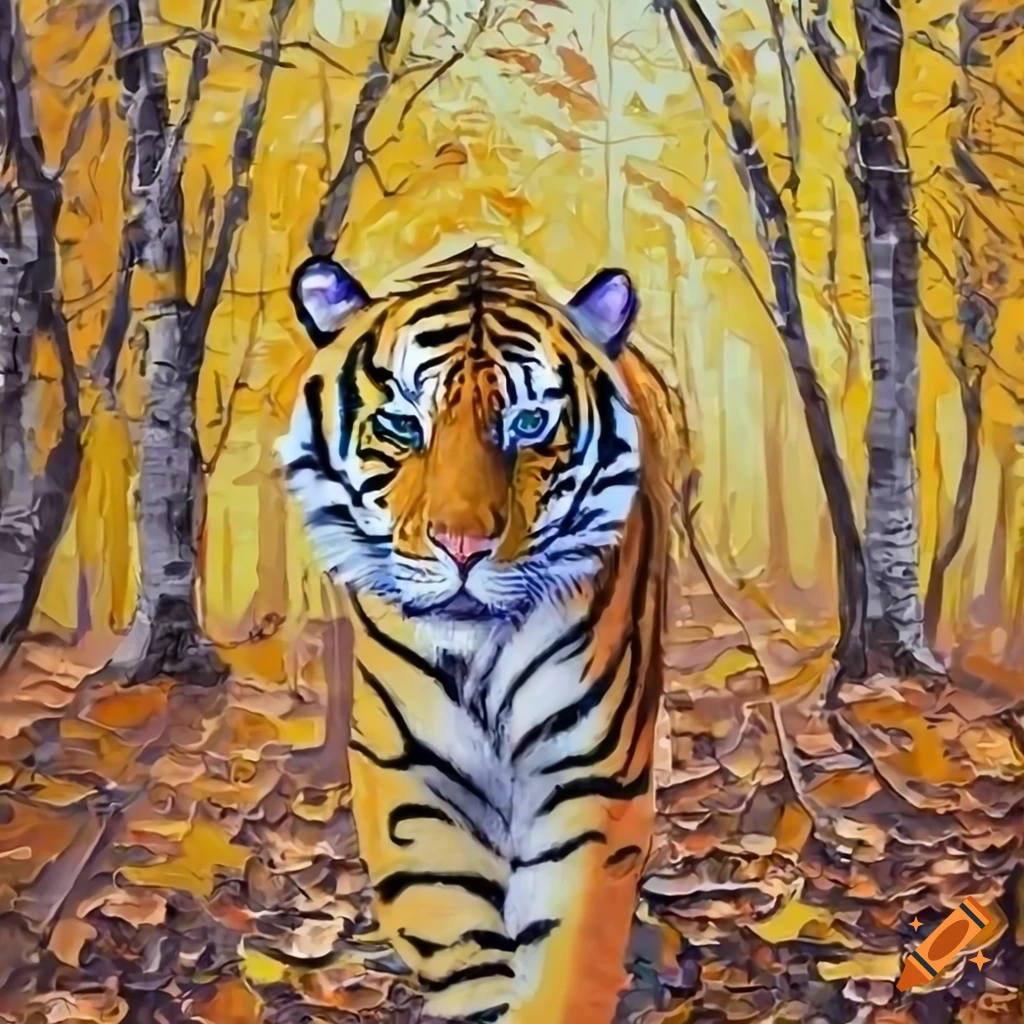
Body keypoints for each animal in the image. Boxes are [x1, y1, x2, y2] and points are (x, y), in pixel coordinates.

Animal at [276, 241, 688, 1024]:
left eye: (527, 425)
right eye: (404, 424)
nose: (462, 545)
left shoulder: (588, 772)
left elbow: (569, 948)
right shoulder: (408, 773)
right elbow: (455, 932)